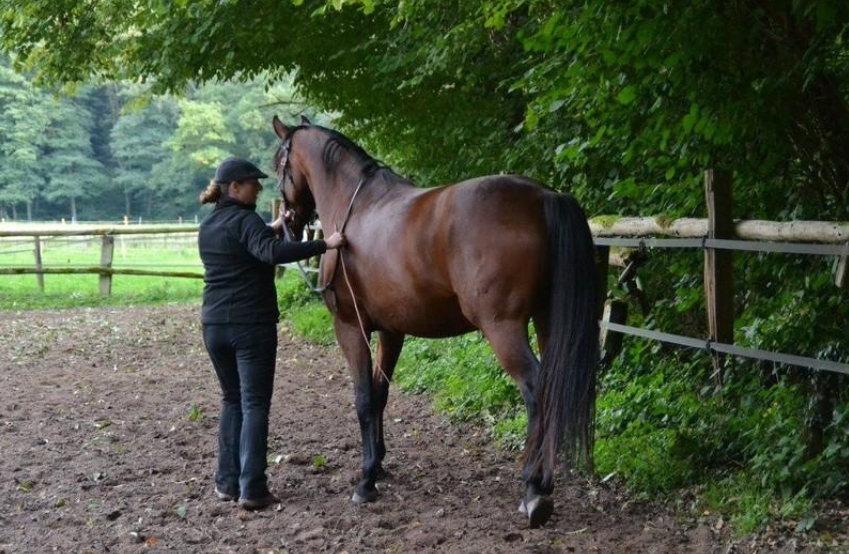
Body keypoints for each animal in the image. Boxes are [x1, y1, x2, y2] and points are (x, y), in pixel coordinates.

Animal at [270, 114, 596, 524]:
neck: (354, 209)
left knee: (536, 389)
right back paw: (544, 484)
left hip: (503, 328)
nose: (289, 223)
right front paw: (379, 465)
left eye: (278, 164)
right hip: (545, 321)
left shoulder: (349, 328)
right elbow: (380, 394)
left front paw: (365, 481)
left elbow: (362, 398)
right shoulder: (391, 332)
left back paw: (534, 489)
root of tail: (543, 197)